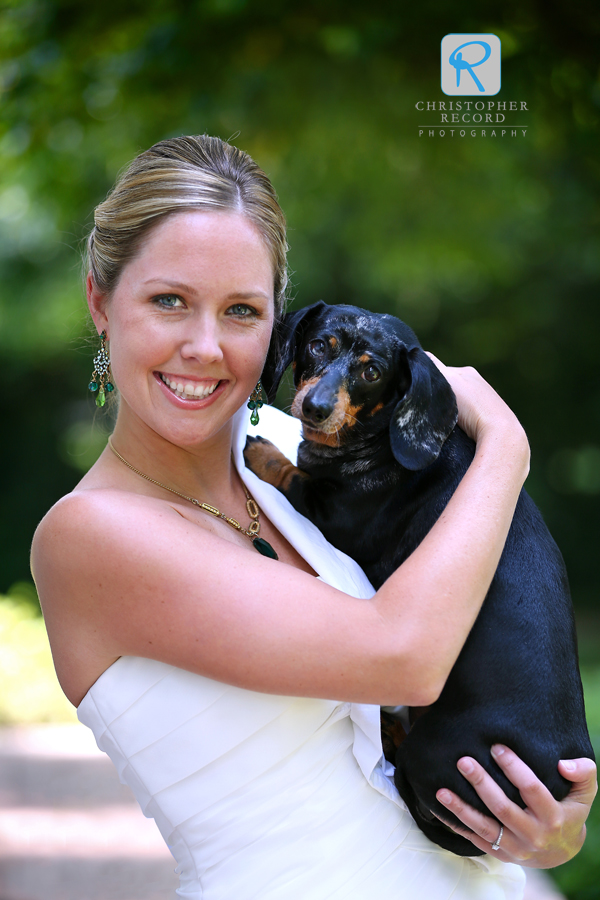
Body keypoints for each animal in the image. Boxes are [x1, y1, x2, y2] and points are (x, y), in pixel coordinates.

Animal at [245, 304, 596, 856]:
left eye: (371, 372)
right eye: (320, 345)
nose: (316, 408)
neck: (378, 443)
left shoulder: (333, 516)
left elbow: (292, 475)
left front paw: (260, 452)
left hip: (435, 755)